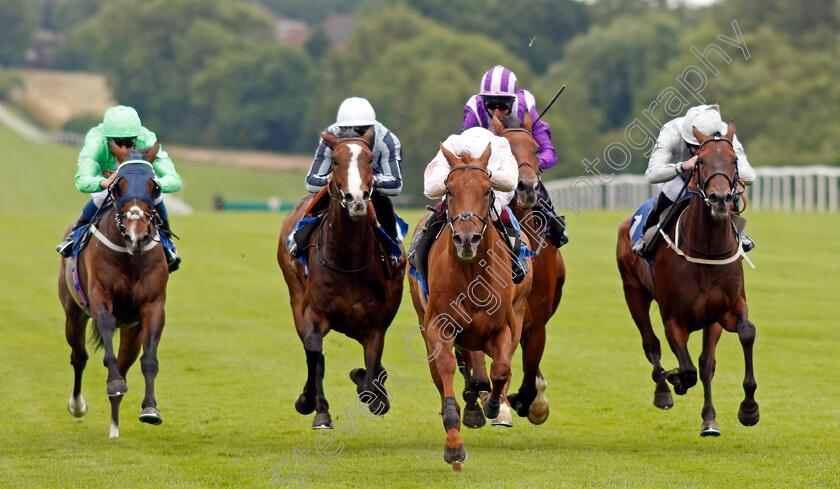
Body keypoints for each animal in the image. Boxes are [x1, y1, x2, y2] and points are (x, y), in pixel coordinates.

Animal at [59, 139, 171, 436]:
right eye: (117, 186)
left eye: (154, 187)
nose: (137, 236)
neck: (129, 255)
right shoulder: (100, 297)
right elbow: (106, 328)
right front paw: (113, 384)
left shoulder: (152, 306)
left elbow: (149, 360)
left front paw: (150, 408)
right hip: (73, 312)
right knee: (79, 356)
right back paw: (78, 406)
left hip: (132, 329)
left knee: (125, 363)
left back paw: (114, 426)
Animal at [278, 127, 406, 428]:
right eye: (335, 160)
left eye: (370, 159)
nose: (356, 199)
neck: (348, 260)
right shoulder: (314, 311)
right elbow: (314, 351)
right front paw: (312, 404)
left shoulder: (375, 323)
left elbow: (370, 380)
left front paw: (371, 388)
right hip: (295, 295)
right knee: (314, 353)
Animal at [406, 142, 532, 468]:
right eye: (449, 190)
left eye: (487, 190)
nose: (466, 239)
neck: (471, 272)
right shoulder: (439, 325)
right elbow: (446, 367)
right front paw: (453, 442)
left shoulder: (502, 326)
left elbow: (501, 368)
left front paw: (494, 406)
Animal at [612, 122, 756, 434]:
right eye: (700, 162)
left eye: (734, 160)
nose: (720, 199)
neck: (707, 251)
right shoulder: (674, 319)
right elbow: (686, 369)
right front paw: (675, 378)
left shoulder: (726, 310)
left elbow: (741, 337)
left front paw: (748, 408)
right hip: (633, 293)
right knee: (650, 343)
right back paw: (663, 391)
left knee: (705, 362)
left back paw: (709, 418)